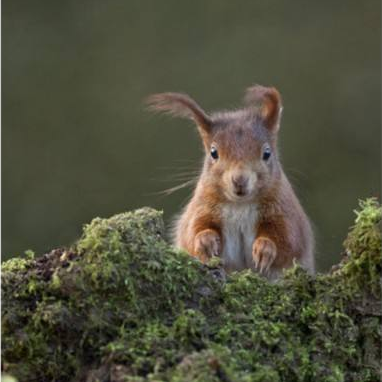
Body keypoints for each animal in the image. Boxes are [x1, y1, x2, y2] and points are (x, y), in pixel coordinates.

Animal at [147, 85, 314, 280]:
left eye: (267, 153)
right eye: (213, 152)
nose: (239, 179)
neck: (240, 205)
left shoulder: (286, 211)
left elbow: (288, 239)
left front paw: (264, 249)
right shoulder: (201, 208)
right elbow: (192, 231)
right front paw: (205, 240)